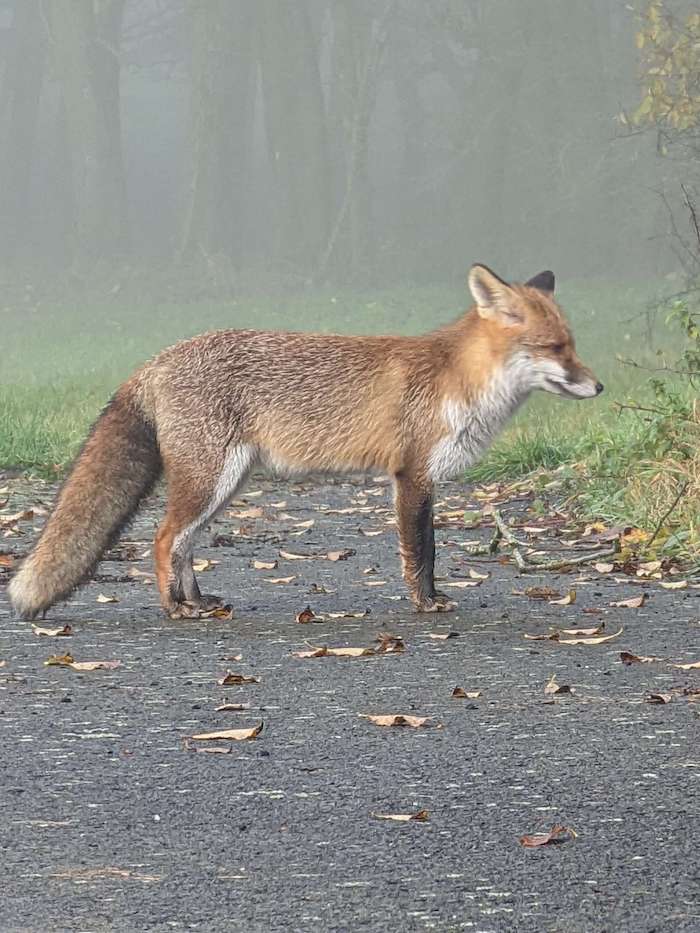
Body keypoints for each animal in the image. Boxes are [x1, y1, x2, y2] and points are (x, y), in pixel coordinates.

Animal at [9, 264, 602, 621]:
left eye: (573, 344)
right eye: (555, 348)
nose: (599, 387)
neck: (459, 381)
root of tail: (157, 358)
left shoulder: (424, 480)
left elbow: (429, 548)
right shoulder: (411, 475)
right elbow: (422, 553)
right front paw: (424, 603)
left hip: (226, 483)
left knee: (184, 543)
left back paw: (197, 599)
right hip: (209, 480)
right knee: (161, 539)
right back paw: (173, 609)